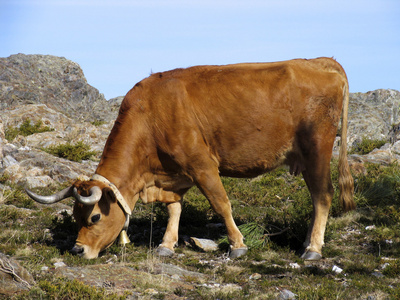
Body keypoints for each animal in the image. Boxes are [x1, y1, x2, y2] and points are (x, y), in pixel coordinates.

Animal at [26, 56, 354, 260]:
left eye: (94, 216)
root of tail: (320, 62)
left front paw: (237, 245)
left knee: (322, 196)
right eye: (74, 215)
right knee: (316, 198)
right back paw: (307, 242)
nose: (77, 251)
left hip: (317, 150)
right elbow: (174, 209)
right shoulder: (174, 173)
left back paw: (313, 249)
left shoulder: (202, 164)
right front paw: (166, 245)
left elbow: (221, 203)